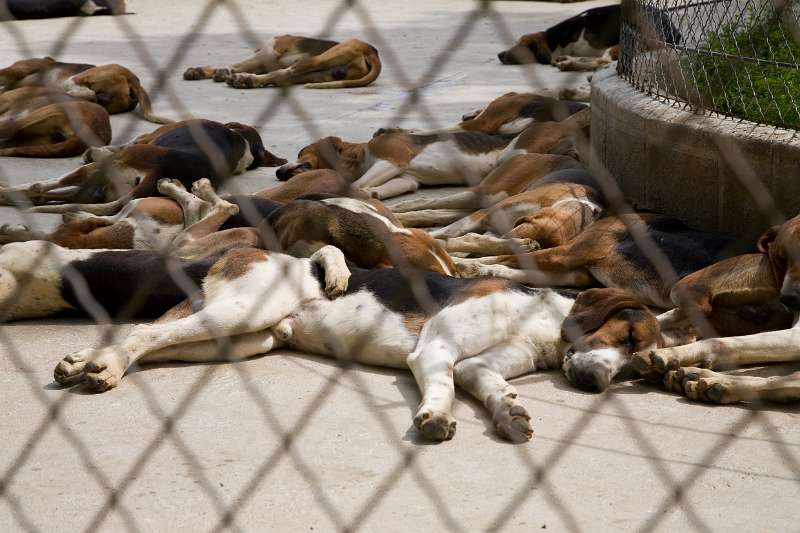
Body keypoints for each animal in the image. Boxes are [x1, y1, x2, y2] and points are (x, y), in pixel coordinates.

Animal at [0, 119, 284, 214]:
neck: (243, 143)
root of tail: (158, 171)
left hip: (105, 167)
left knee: (41, 186)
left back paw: (9, 192)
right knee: (48, 193)